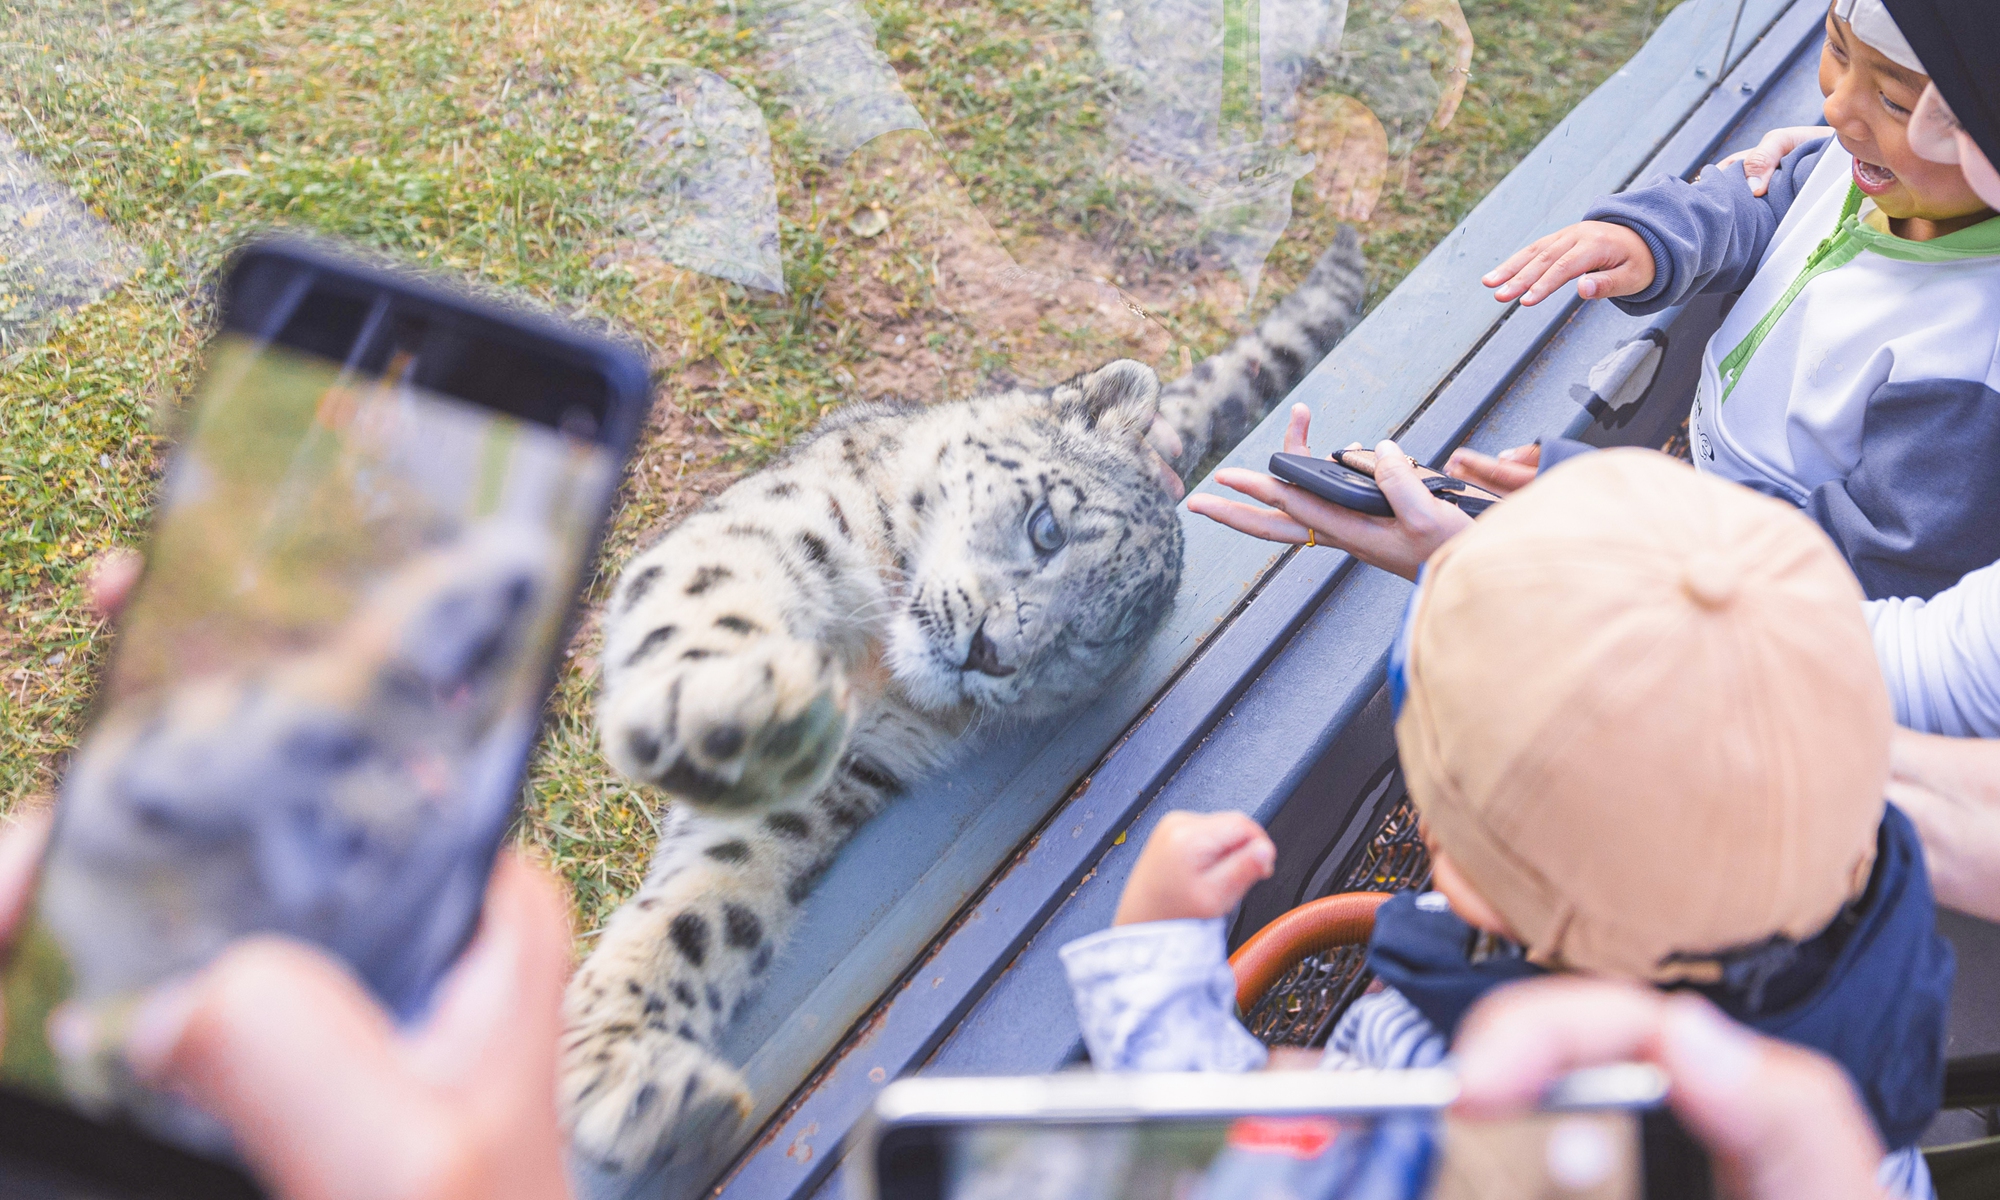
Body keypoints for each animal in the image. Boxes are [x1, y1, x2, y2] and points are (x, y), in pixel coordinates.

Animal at [561, 228, 1369, 1173]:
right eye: (1048, 527)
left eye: (1084, 644)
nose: (993, 651)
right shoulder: (768, 531)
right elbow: (716, 606)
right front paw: (729, 709)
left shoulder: (833, 784)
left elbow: (712, 902)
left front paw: (638, 1083)